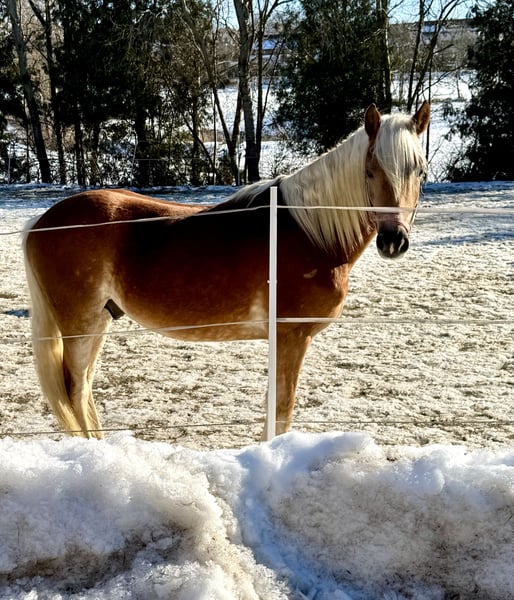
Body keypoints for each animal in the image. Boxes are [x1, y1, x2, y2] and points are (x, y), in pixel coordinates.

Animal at [23, 101, 430, 440]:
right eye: (370, 171)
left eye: (421, 173)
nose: (393, 240)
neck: (309, 230)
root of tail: (40, 222)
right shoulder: (292, 337)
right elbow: (282, 409)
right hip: (81, 324)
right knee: (74, 391)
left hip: (101, 321)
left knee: (83, 390)